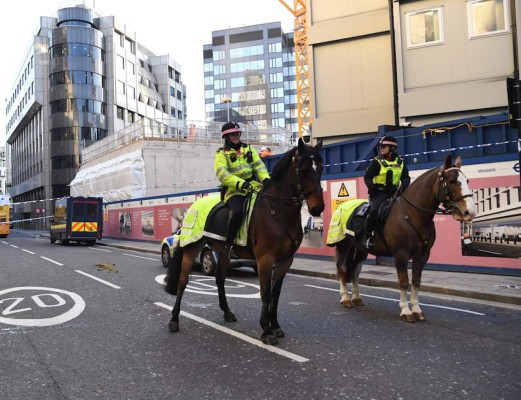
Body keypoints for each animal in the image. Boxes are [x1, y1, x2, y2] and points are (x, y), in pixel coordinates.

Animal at [165, 140, 322, 344]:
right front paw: (266, 330)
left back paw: (227, 312)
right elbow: (265, 292)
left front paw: (275, 325)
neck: (276, 210)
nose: (318, 208)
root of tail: (194, 205)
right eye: (303, 170)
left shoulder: (286, 260)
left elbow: (276, 293)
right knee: (183, 281)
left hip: (223, 252)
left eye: (320, 168)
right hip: (192, 248)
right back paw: (174, 319)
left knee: (219, 279)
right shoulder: (265, 259)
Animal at [330, 155, 476, 322]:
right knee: (342, 268)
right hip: (343, 246)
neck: (413, 214)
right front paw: (406, 311)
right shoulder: (401, 255)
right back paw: (345, 298)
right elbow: (403, 282)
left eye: (467, 181)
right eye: (452, 181)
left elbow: (416, 282)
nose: (470, 212)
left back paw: (356, 298)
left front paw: (417, 310)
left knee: (355, 270)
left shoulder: (422, 256)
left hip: (361, 249)